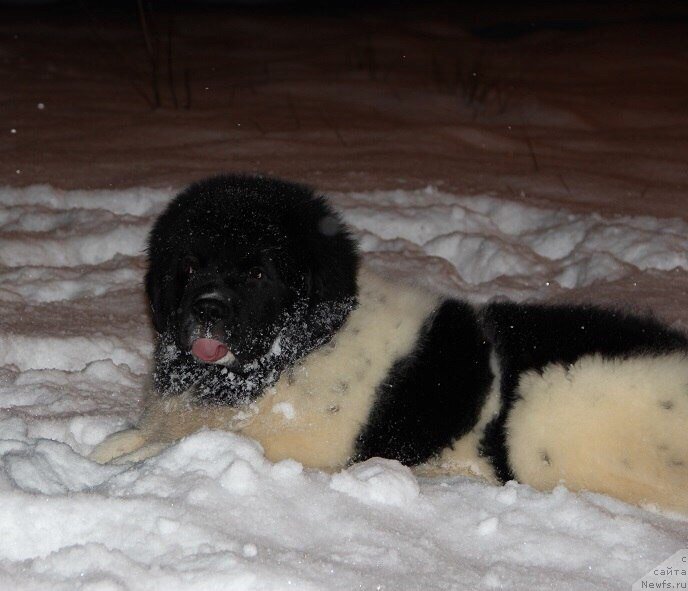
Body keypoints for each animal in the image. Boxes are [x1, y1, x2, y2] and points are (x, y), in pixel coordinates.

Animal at [94, 175, 688, 512]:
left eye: (259, 273)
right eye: (189, 266)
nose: (208, 308)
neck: (300, 350)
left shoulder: (308, 447)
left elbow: (173, 446)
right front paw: (114, 445)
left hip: (542, 425)